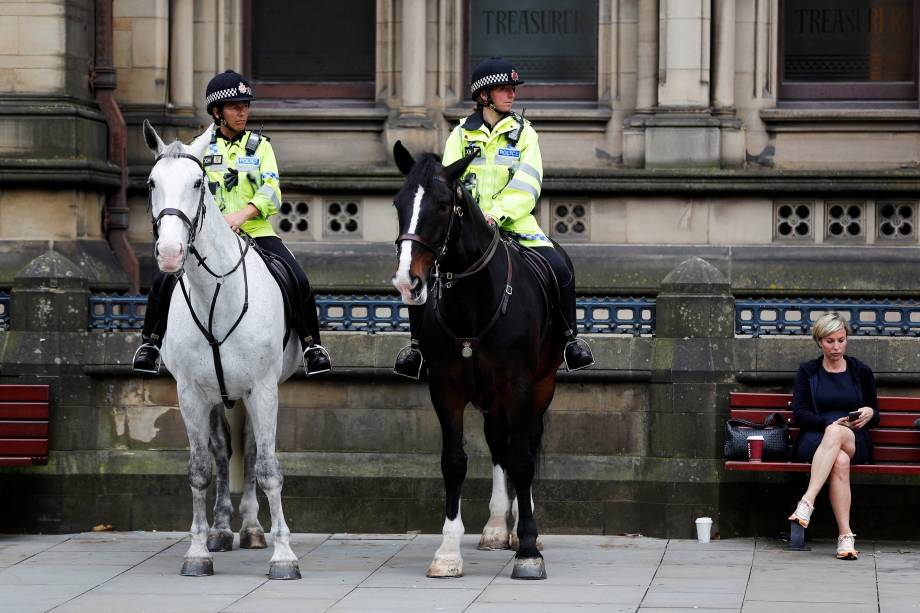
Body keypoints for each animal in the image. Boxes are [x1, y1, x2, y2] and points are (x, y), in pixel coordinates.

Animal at [144, 119, 302, 580]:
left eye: (198, 183)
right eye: (151, 183)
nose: (170, 254)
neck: (215, 293)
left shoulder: (263, 389)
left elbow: (267, 467)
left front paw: (284, 555)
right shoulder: (191, 394)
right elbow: (200, 469)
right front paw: (198, 550)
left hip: (250, 394)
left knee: (249, 453)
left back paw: (251, 528)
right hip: (219, 396)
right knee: (222, 453)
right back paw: (222, 529)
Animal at [388, 142, 560, 580]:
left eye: (443, 204)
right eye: (398, 202)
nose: (407, 282)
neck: (473, 302)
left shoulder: (519, 386)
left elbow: (522, 459)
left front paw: (528, 548)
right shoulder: (445, 388)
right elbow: (455, 461)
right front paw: (448, 552)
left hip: (542, 385)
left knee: (525, 444)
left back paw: (520, 530)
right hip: (490, 397)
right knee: (499, 444)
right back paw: (499, 527)